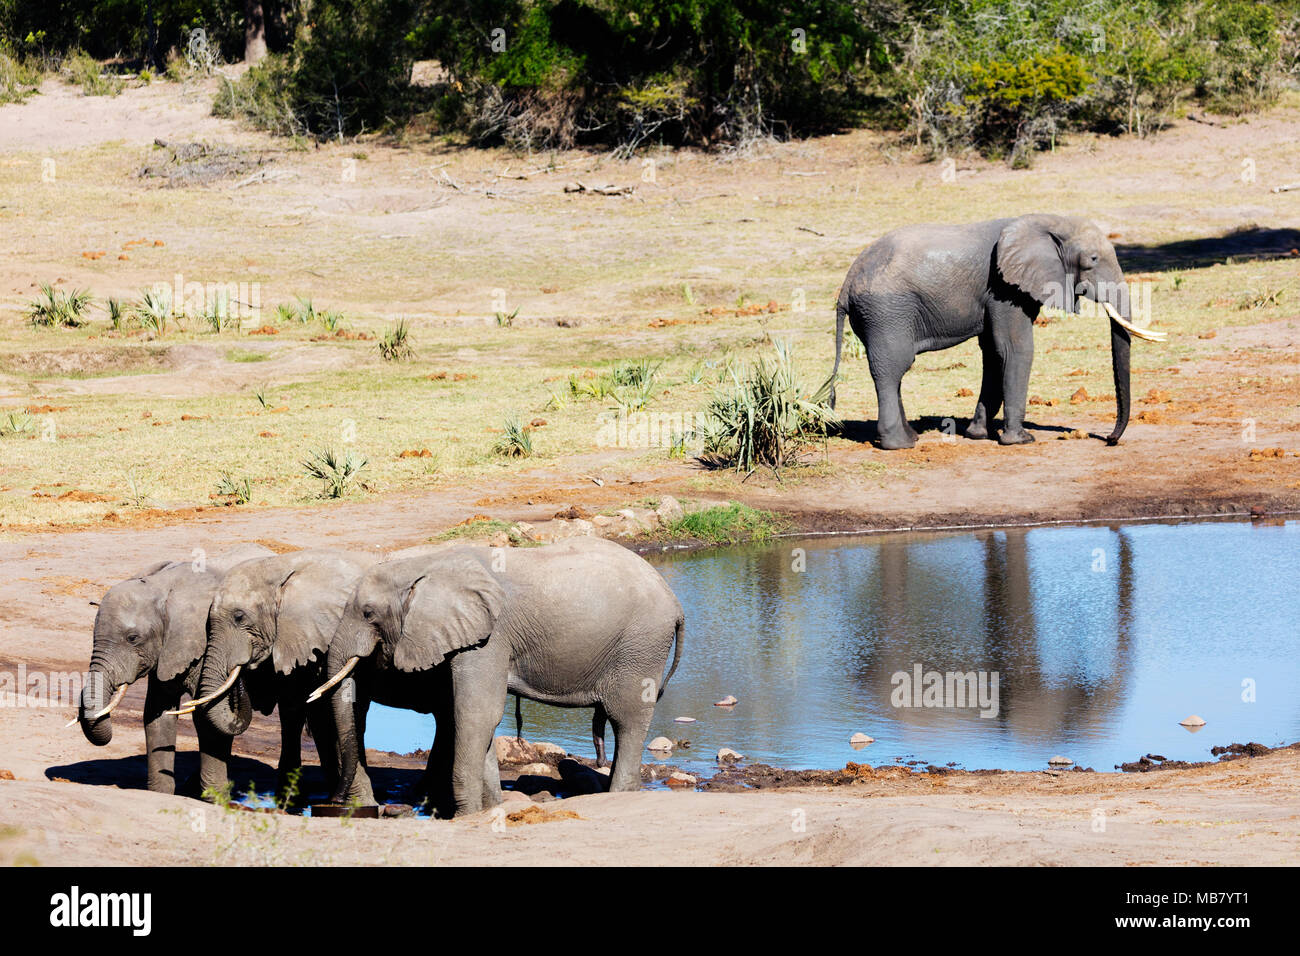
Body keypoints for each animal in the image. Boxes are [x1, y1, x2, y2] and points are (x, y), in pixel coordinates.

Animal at [74, 541, 273, 796]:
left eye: (133, 638)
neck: (162, 588)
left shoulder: (205, 639)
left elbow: (206, 713)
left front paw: (213, 798)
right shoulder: (166, 652)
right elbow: (156, 714)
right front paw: (160, 794)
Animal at [174, 546, 377, 801]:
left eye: (239, 617)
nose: (241, 672)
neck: (280, 569)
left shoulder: (317, 634)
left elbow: (305, 707)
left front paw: (292, 797)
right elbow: (300, 706)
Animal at [308, 538, 686, 816]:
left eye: (368, 613)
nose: (331, 803)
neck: (427, 565)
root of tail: (676, 603)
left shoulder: (489, 638)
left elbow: (475, 713)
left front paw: (465, 816)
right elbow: (479, 717)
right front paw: (488, 809)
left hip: (641, 646)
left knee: (627, 720)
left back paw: (618, 794)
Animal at [832, 215, 1170, 452]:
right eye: (1093, 261)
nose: (1110, 439)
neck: (1046, 221)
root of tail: (845, 286)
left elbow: (994, 352)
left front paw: (978, 435)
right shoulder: (1005, 288)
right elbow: (1015, 349)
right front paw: (1021, 440)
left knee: (894, 370)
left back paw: (912, 437)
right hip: (887, 311)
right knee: (892, 369)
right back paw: (900, 446)